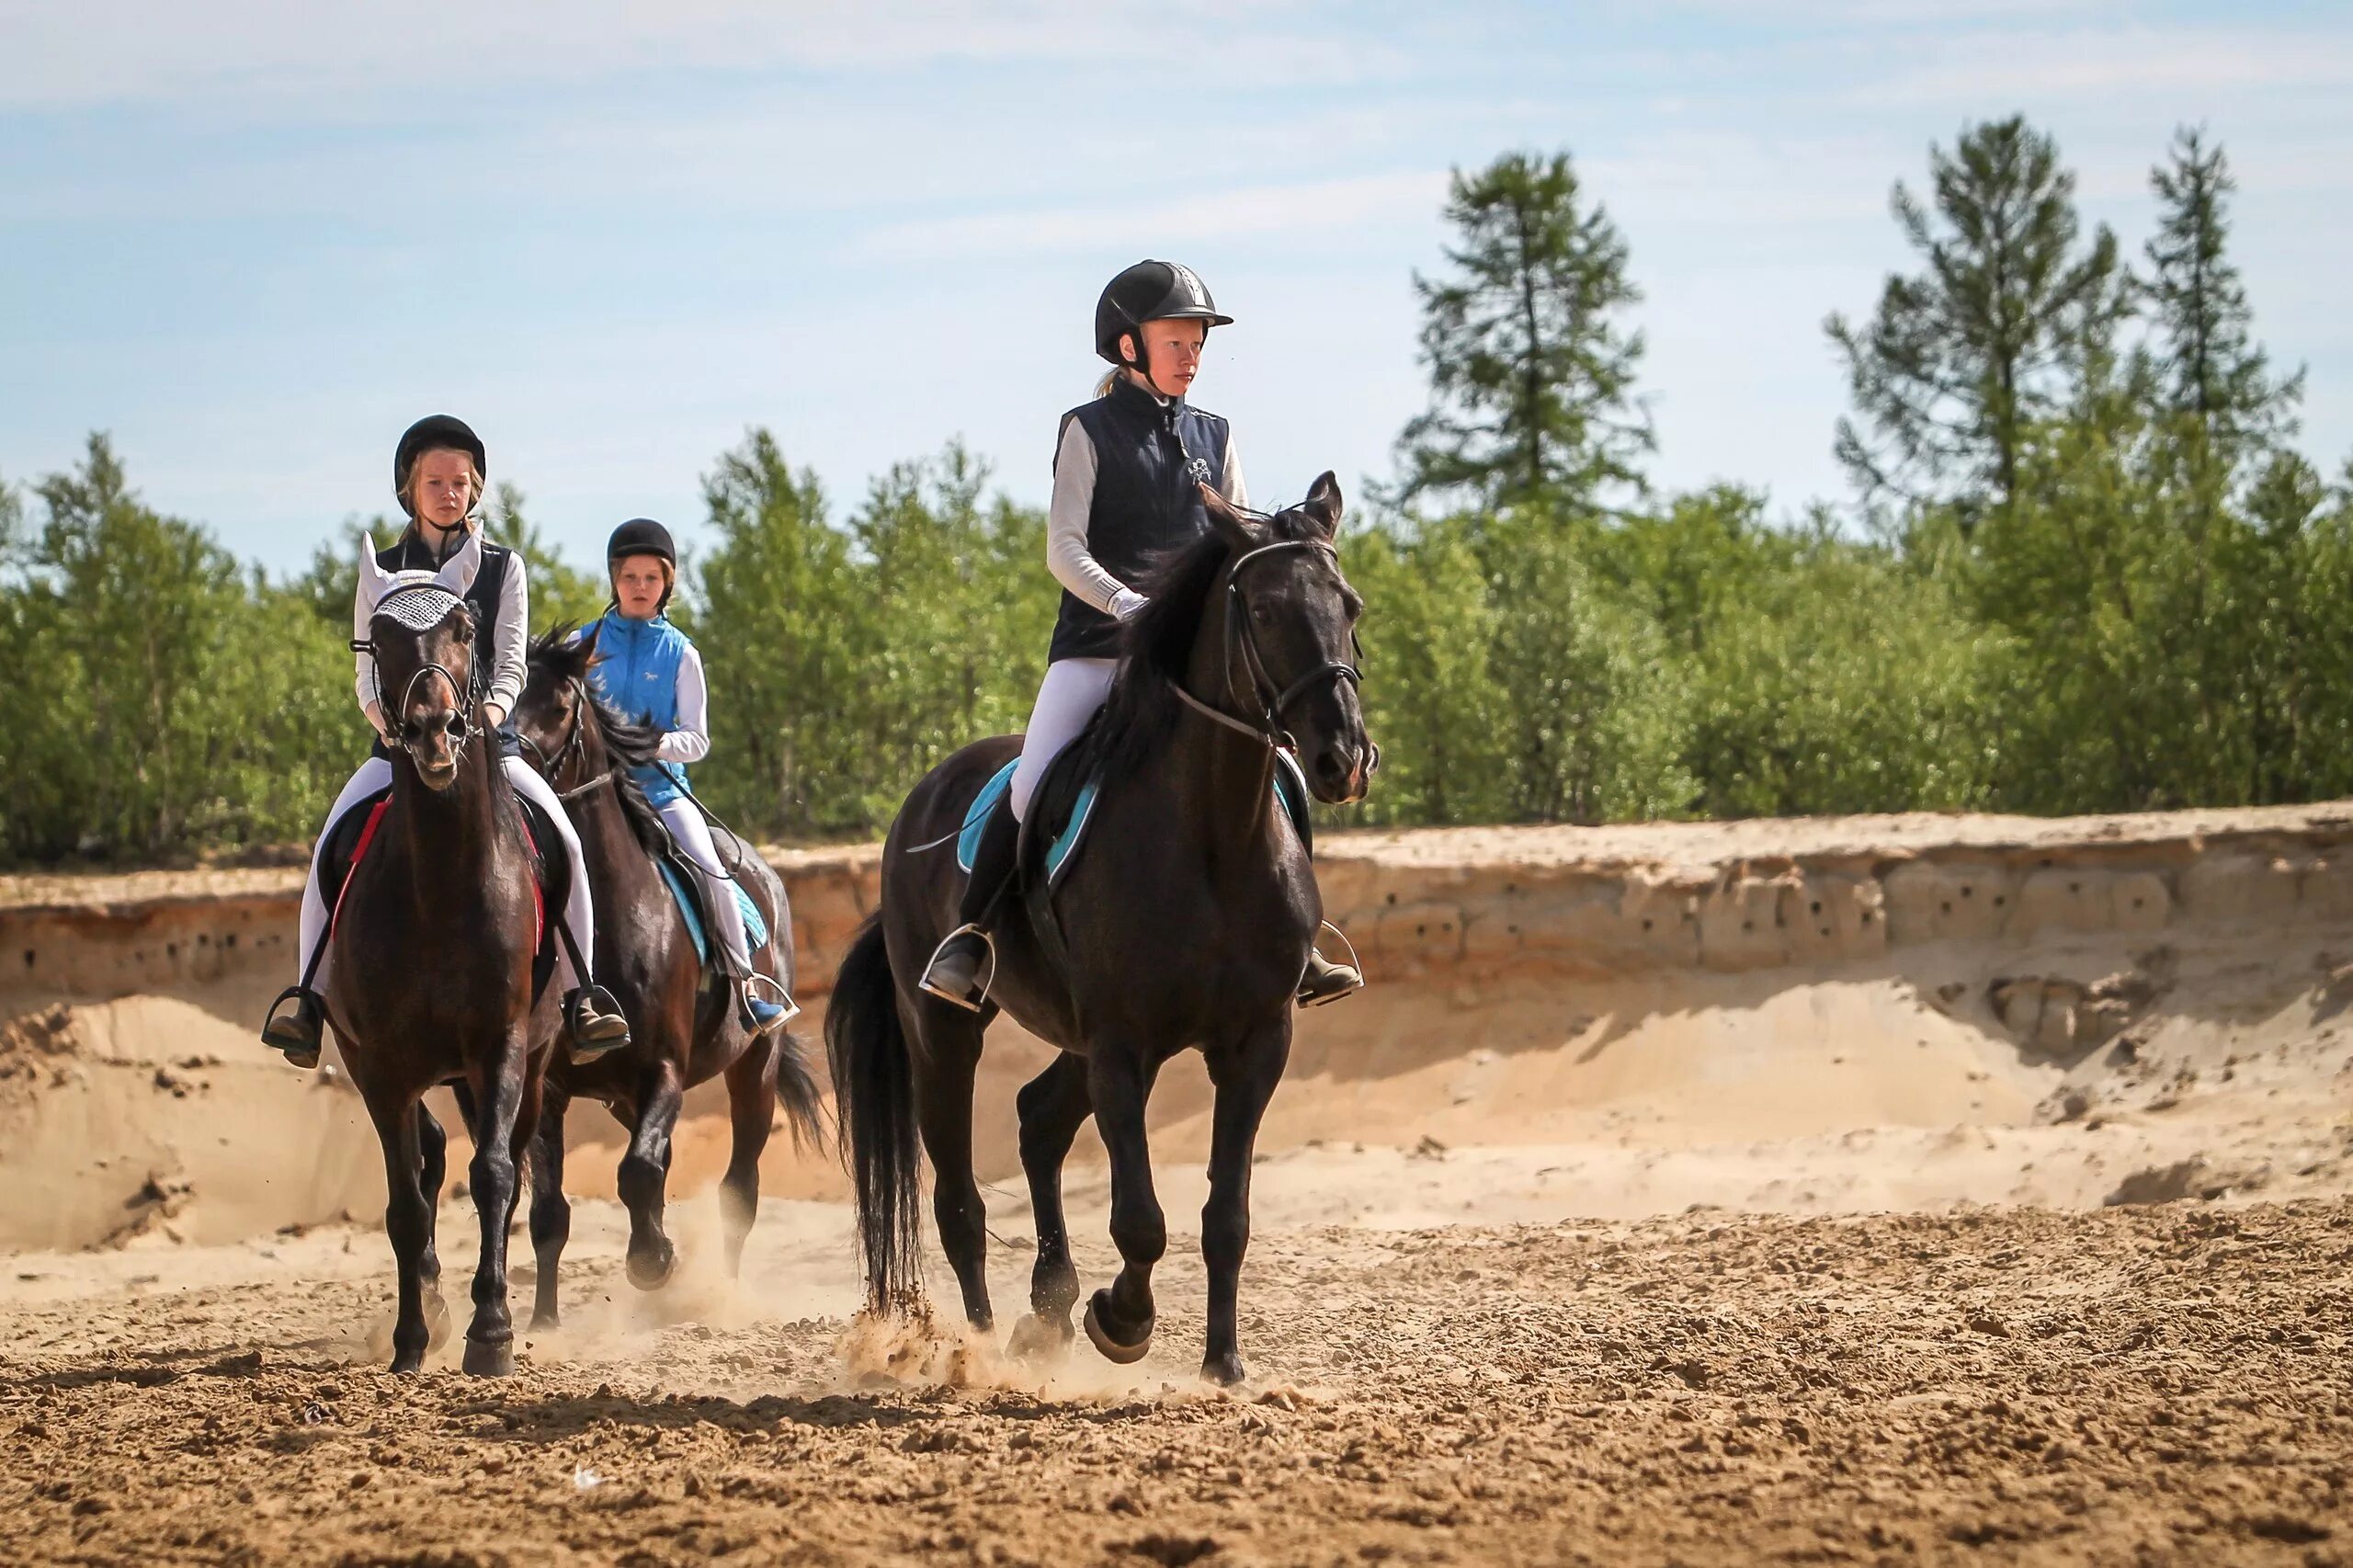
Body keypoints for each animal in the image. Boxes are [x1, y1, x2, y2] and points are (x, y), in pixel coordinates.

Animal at [329, 576, 557, 1365]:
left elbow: (492, 1174)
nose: (435, 731)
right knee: (428, 1160)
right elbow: (405, 1202)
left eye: (464, 628)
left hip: (529, 1065)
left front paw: (492, 1333)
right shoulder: (379, 1067)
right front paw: (411, 1340)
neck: (441, 887)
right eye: (379, 639)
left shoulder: (501, 1046)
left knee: (507, 1164)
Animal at [507, 626, 828, 1318]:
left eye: (562, 705)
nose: (508, 767)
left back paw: (722, 1295)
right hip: (629, 1098)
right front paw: (545, 1320)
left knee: (740, 1188)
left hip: (754, 1072)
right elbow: (551, 1211)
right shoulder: (553, 1087)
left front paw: (653, 1264)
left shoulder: (665, 1069)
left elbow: (638, 1173)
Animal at [833, 472, 1374, 1384]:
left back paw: (1047, 1308)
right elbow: (1141, 1219)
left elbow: (1227, 1215)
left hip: (1072, 1038)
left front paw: (1222, 1365)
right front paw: (1122, 1320)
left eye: (1350, 605)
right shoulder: (1124, 1045)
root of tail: (924, 795)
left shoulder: (1256, 1043)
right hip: (943, 1031)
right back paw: (985, 1349)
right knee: (959, 1200)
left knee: (1038, 1120)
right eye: (1265, 610)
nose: (1344, 758)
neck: (1213, 839)